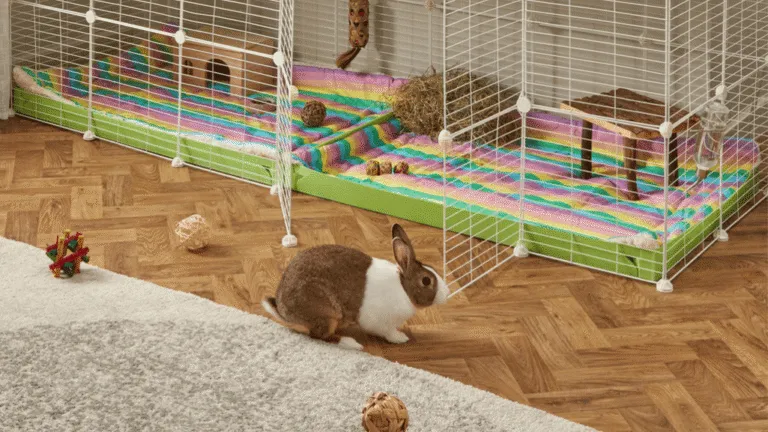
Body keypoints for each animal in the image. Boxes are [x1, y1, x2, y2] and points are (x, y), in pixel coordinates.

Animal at [261, 224, 450, 350]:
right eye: (426, 281)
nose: (446, 293)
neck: (403, 288)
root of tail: (284, 311)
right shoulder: (381, 323)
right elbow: (388, 332)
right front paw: (401, 338)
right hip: (327, 315)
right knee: (320, 336)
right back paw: (351, 343)